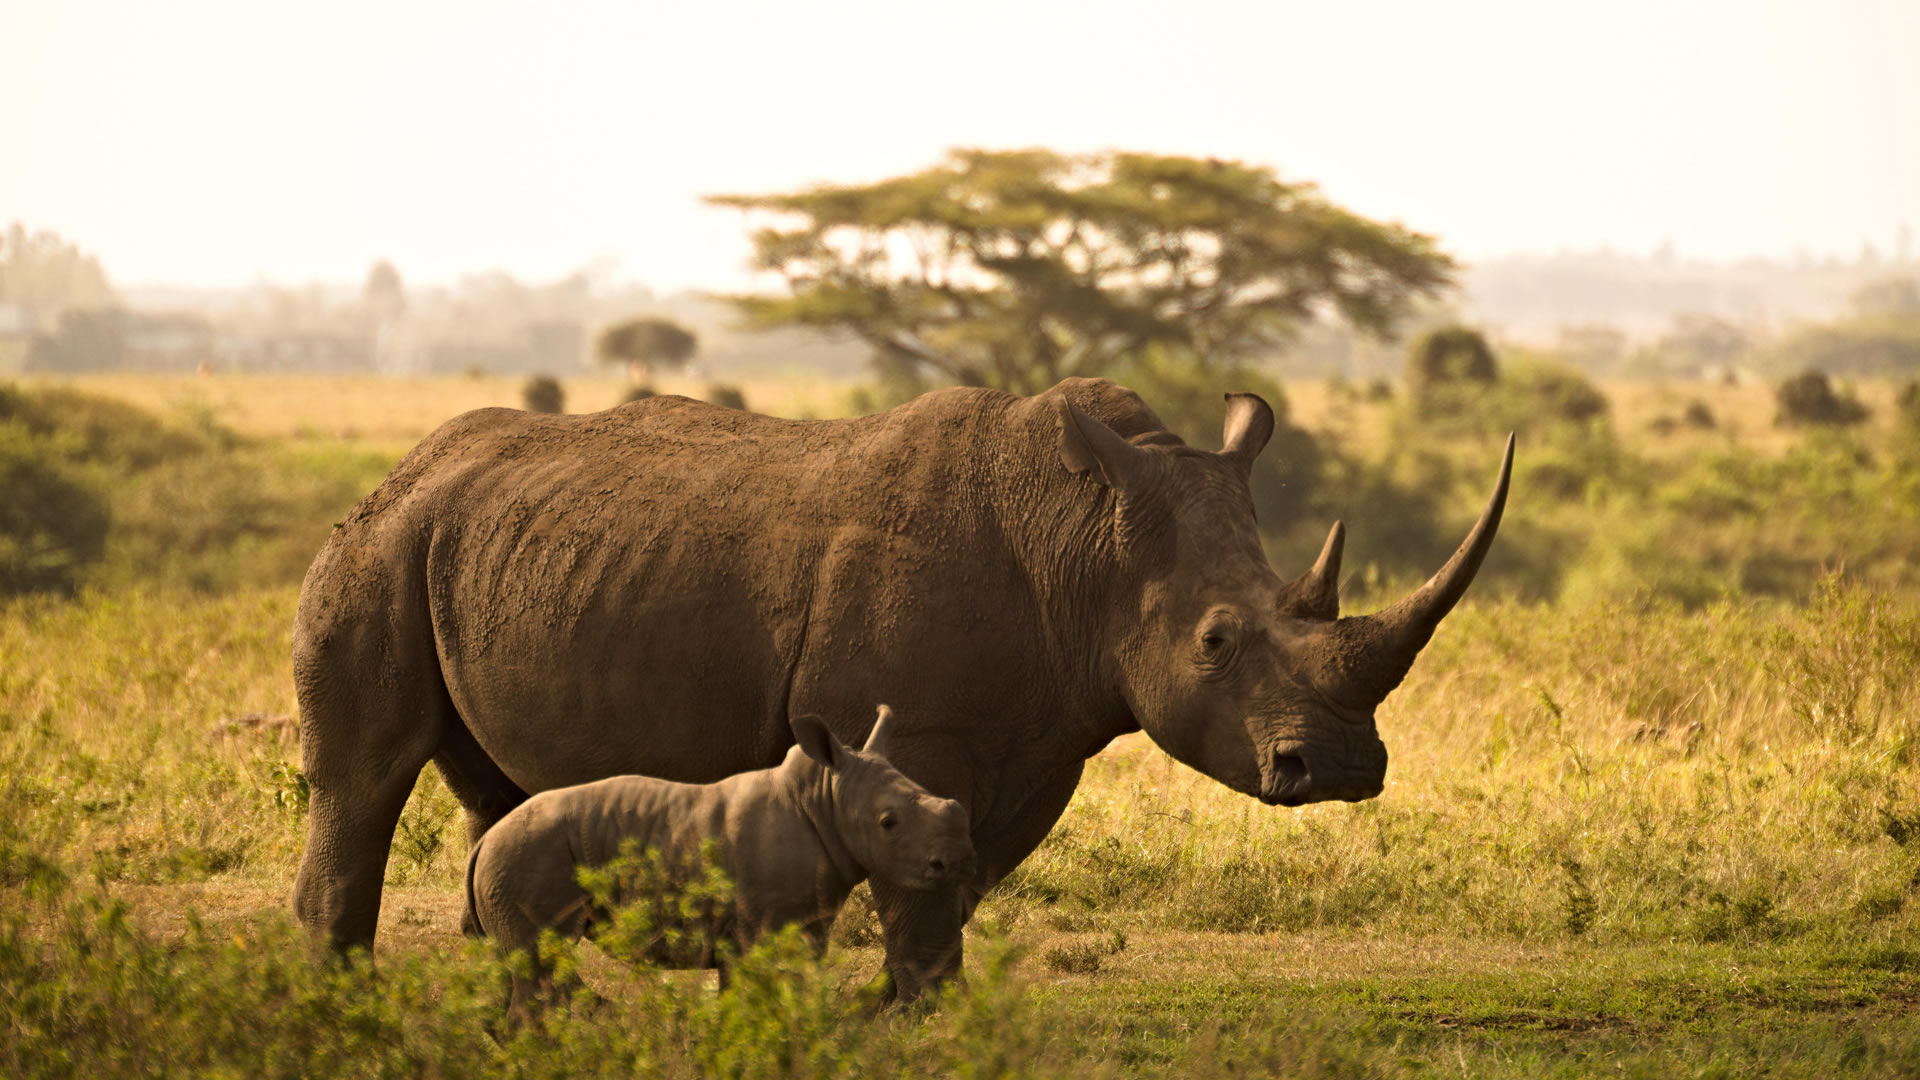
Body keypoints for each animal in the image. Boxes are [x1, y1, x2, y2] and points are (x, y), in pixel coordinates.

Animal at [465, 707, 972, 1012]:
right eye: (889, 823)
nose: (955, 862)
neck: (824, 800)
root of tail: (483, 844)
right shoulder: (764, 929)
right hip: (525, 857)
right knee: (540, 965)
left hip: (514, 860)